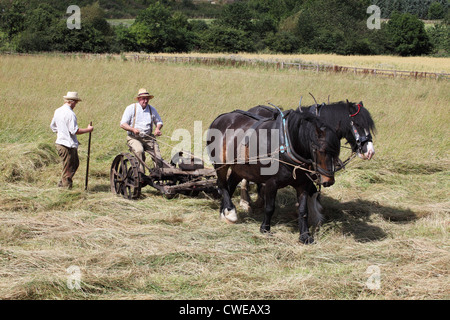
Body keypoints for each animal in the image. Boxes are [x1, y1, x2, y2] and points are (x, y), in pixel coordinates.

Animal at [206, 107, 340, 242]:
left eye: (336, 151)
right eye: (321, 150)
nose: (328, 180)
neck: (285, 145)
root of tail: (220, 118)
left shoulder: (302, 184)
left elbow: (303, 210)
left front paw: (305, 235)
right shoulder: (271, 183)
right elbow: (270, 207)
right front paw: (265, 229)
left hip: (240, 168)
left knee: (230, 185)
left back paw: (224, 212)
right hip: (220, 164)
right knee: (222, 185)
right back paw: (230, 212)